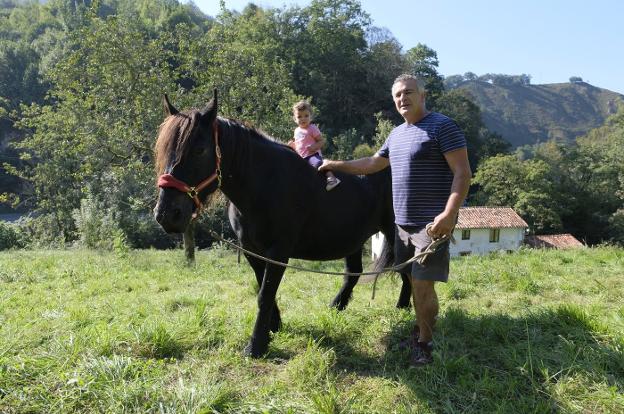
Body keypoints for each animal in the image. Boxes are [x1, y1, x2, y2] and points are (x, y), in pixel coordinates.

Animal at [154, 92, 412, 358]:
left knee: (407, 268)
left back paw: (402, 308)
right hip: (353, 239)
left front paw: (256, 344)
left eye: (200, 150)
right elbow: (263, 289)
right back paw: (336, 307)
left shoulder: (278, 251)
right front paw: (274, 326)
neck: (263, 184)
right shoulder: (252, 250)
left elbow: (265, 294)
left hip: (395, 233)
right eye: (163, 150)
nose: (167, 214)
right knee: (354, 273)